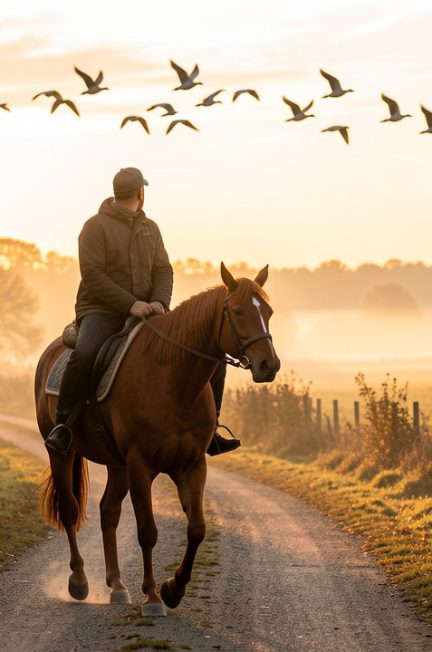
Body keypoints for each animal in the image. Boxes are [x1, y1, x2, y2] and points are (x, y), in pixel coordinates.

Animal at [35, 262, 280, 615]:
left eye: (268, 312)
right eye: (237, 311)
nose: (268, 365)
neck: (173, 380)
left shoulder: (191, 464)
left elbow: (197, 528)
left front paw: (173, 589)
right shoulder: (141, 465)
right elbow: (147, 531)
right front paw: (152, 596)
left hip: (117, 465)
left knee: (108, 511)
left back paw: (117, 585)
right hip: (63, 454)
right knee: (69, 509)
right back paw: (79, 581)